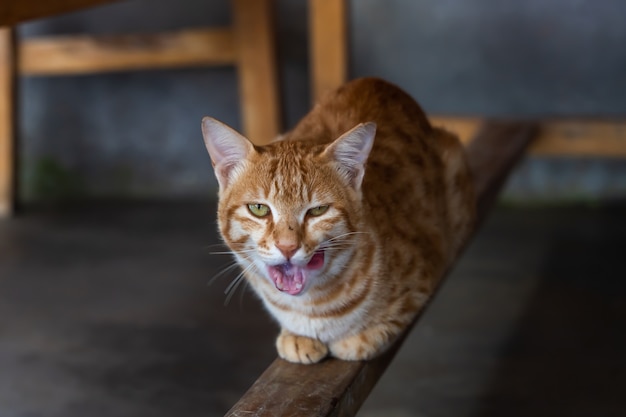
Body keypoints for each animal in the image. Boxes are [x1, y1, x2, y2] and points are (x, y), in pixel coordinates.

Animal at [200, 76, 472, 362]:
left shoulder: (427, 269)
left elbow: (390, 320)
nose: (287, 247)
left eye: (318, 210)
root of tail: (378, 81)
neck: (312, 307)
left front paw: (360, 338)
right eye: (259, 209)